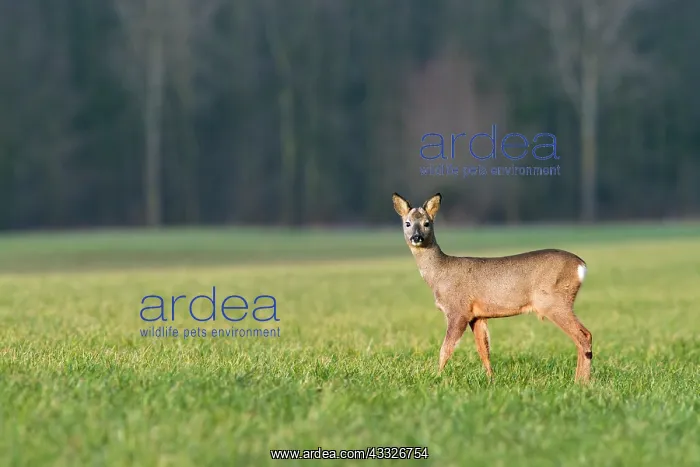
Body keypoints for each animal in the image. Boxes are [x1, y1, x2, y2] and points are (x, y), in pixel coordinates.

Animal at [392, 192, 593, 383]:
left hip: (553, 302)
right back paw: (582, 380)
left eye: (427, 223)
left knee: (583, 336)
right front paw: (491, 380)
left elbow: (445, 348)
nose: (416, 237)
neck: (439, 274)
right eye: (407, 223)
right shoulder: (477, 316)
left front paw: (436, 377)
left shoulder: (458, 310)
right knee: (584, 336)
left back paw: (581, 382)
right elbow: (484, 350)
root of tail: (581, 265)